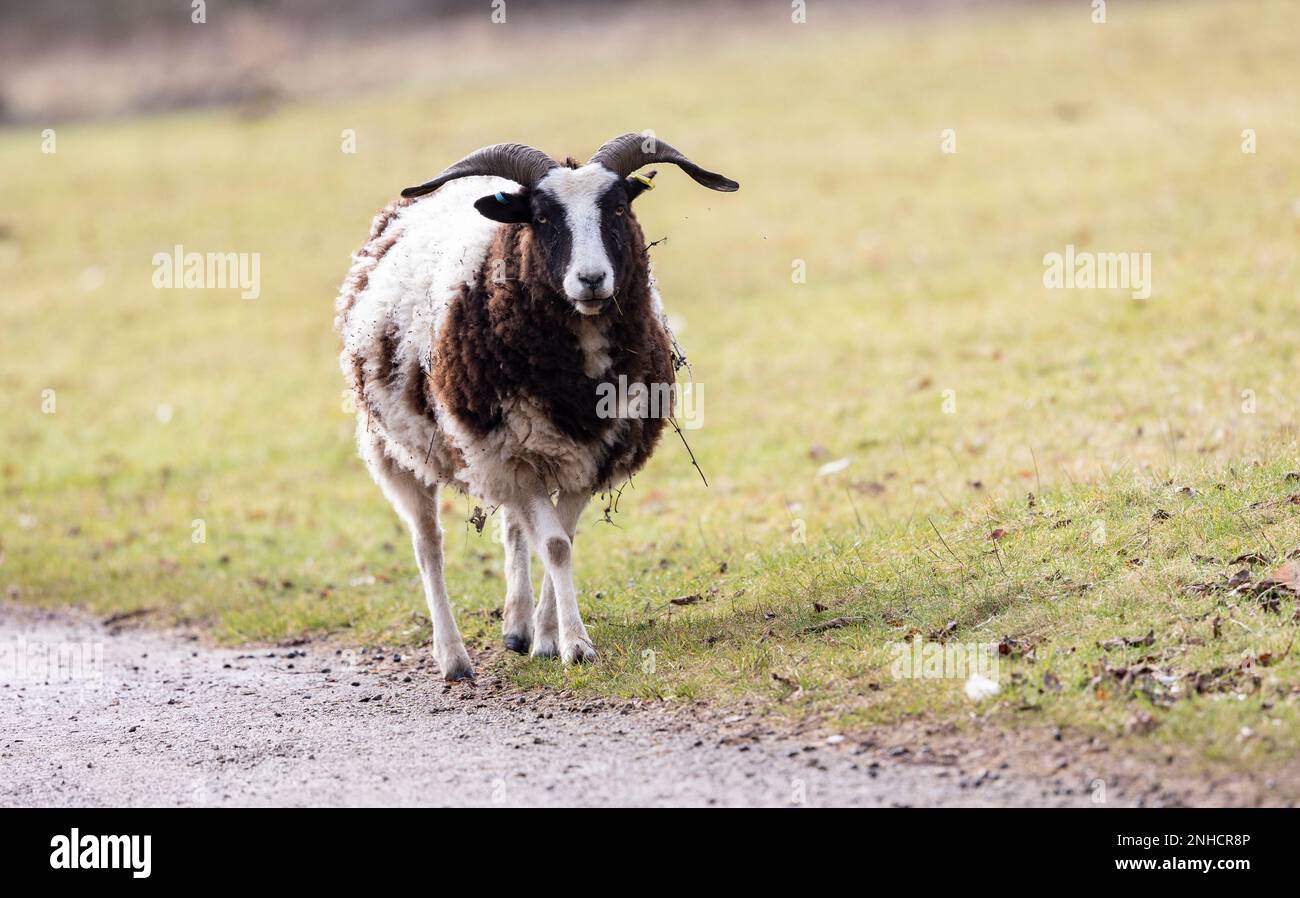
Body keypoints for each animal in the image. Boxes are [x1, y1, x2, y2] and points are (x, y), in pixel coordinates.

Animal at [335, 135, 743, 680]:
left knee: (512, 528)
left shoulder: (587, 455)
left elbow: (559, 539)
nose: (591, 279)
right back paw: (453, 657)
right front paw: (577, 645)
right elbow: (554, 544)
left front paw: (551, 638)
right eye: (544, 217)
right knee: (429, 545)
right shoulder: (513, 456)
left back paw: (518, 627)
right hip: (398, 450)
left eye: (618, 207)